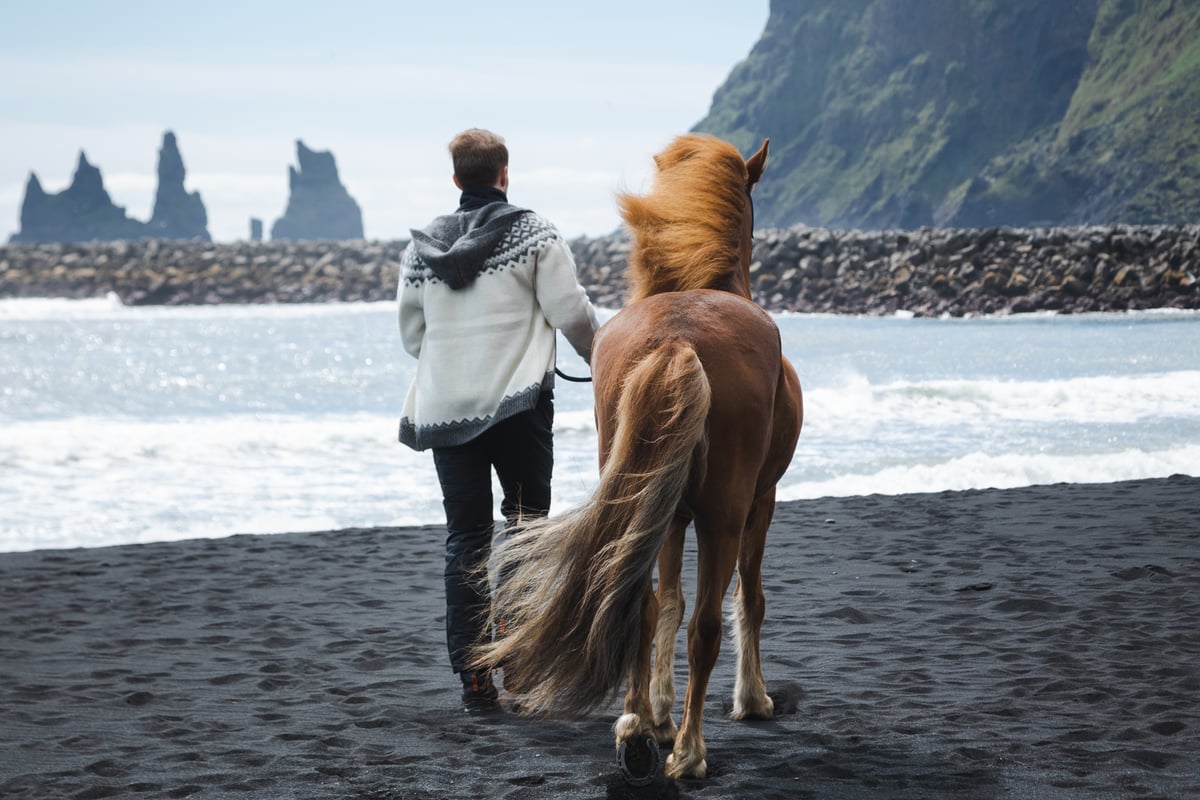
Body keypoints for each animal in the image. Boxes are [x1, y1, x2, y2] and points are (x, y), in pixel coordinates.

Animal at [471, 133, 803, 781]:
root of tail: (677, 340)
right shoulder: (762, 502)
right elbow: (747, 600)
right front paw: (751, 699)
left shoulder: (669, 515)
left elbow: (665, 603)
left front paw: (657, 712)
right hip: (726, 513)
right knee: (705, 625)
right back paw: (689, 753)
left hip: (639, 501)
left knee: (635, 605)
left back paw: (636, 732)